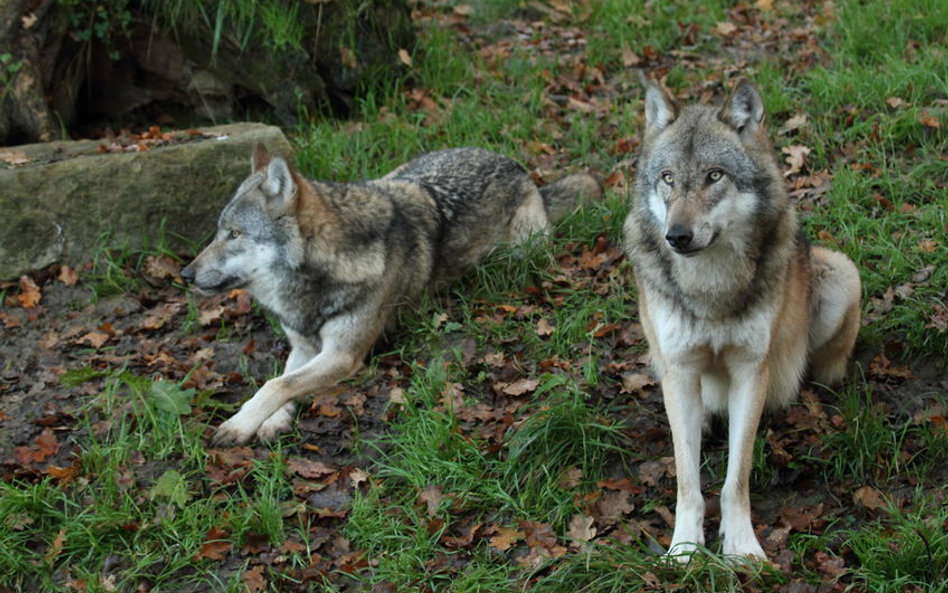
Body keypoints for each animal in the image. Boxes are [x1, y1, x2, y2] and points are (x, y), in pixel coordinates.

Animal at [181, 145, 596, 444]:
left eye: (234, 234)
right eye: (218, 231)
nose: (186, 273)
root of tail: (517, 166)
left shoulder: (343, 355)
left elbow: (276, 384)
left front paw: (239, 425)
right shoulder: (303, 345)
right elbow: (283, 379)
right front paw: (271, 421)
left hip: (525, 247)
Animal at [624, 80, 864, 560]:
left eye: (715, 176)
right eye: (668, 178)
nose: (676, 236)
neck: (710, 288)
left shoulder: (750, 371)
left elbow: (736, 478)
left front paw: (742, 548)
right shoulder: (680, 371)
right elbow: (688, 481)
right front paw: (684, 549)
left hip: (842, 274)